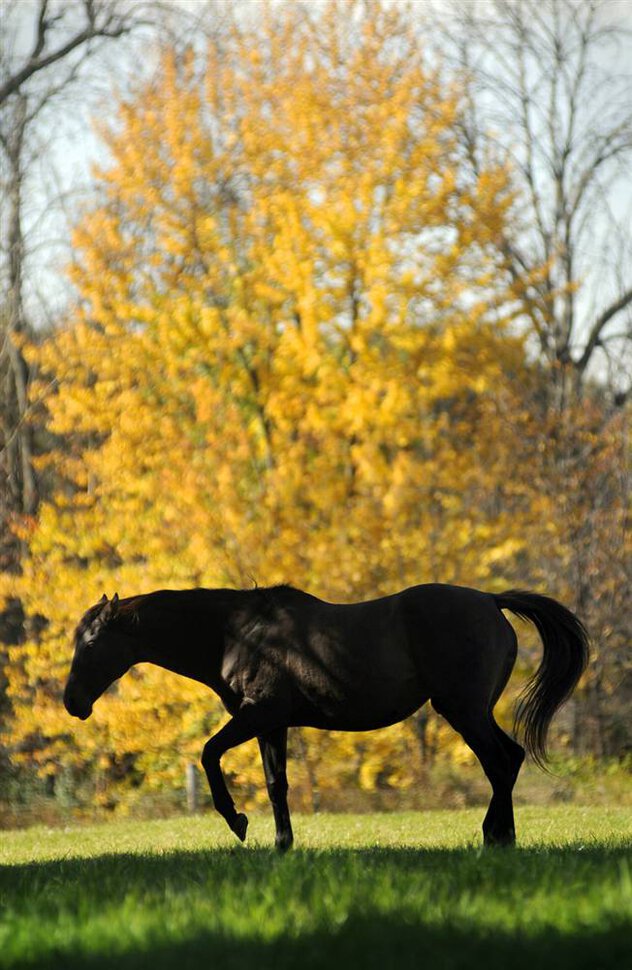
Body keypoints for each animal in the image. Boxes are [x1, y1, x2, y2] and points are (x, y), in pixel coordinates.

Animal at [63, 584, 588, 848]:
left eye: (91, 642)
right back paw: (504, 839)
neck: (237, 632)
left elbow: (209, 753)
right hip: (472, 710)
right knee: (510, 759)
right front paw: (282, 843)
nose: (73, 703)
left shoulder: (258, 715)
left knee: (499, 764)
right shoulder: (272, 726)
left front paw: (237, 821)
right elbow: (276, 785)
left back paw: (492, 838)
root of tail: (490, 601)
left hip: (462, 710)